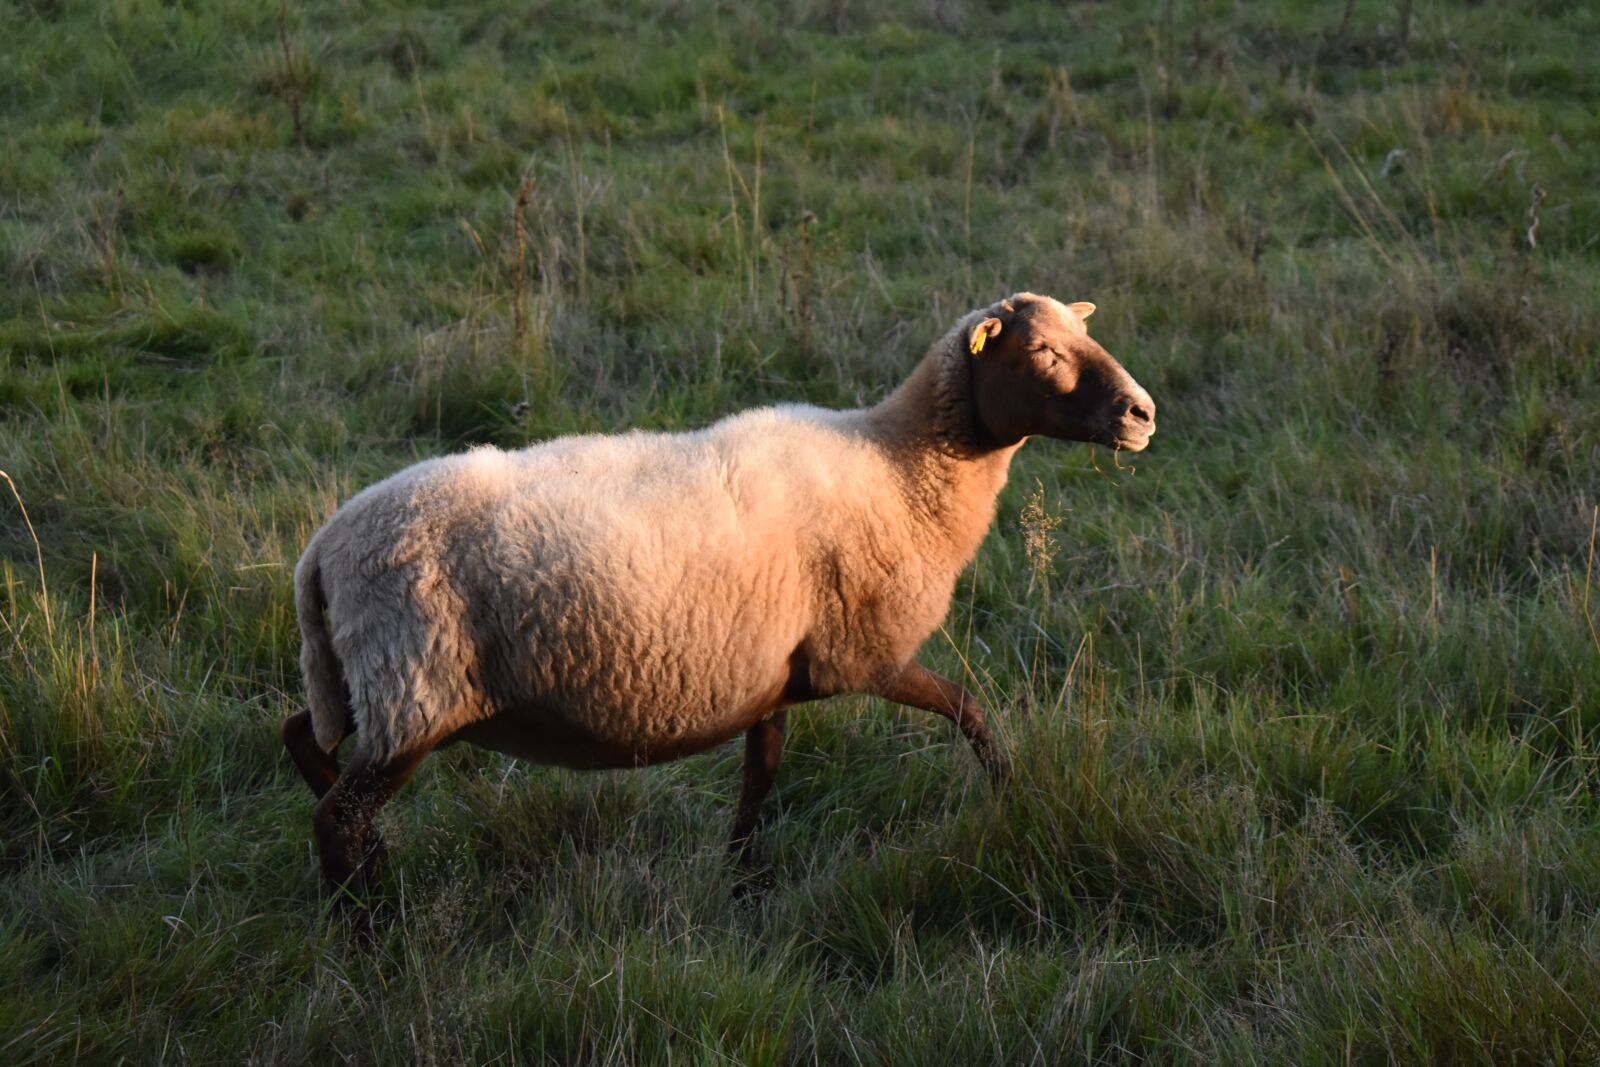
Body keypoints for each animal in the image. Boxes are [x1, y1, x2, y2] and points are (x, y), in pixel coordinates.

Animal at [282, 292, 1156, 894]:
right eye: (1041, 350)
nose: (1144, 413)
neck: (898, 465)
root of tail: (326, 546)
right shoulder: (862, 655)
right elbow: (970, 707)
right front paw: (1010, 793)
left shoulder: (775, 675)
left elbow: (759, 778)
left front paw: (738, 879)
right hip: (414, 688)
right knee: (336, 816)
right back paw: (366, 924)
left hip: (361, 680)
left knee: (302, 738)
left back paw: (374, 868)